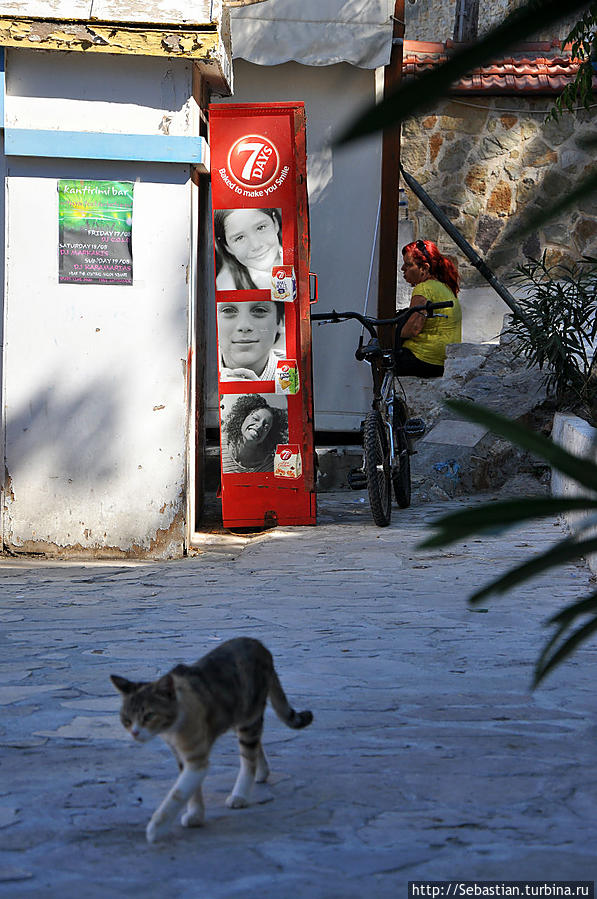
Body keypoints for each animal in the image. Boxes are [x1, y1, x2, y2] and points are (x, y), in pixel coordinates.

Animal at [110, 632, 312, 844]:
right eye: (126, 719)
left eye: (149, 716)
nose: (134, 732)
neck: (174, 726)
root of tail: (260, 645)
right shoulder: (180, 754)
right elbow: (192, 791)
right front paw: (196, 815)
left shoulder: (196, 757)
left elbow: (179, 792)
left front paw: (156, 828)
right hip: (239, 715)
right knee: (256, 743)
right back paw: (262, 772)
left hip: (248, 717)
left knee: (248, 758)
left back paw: (240, 795)